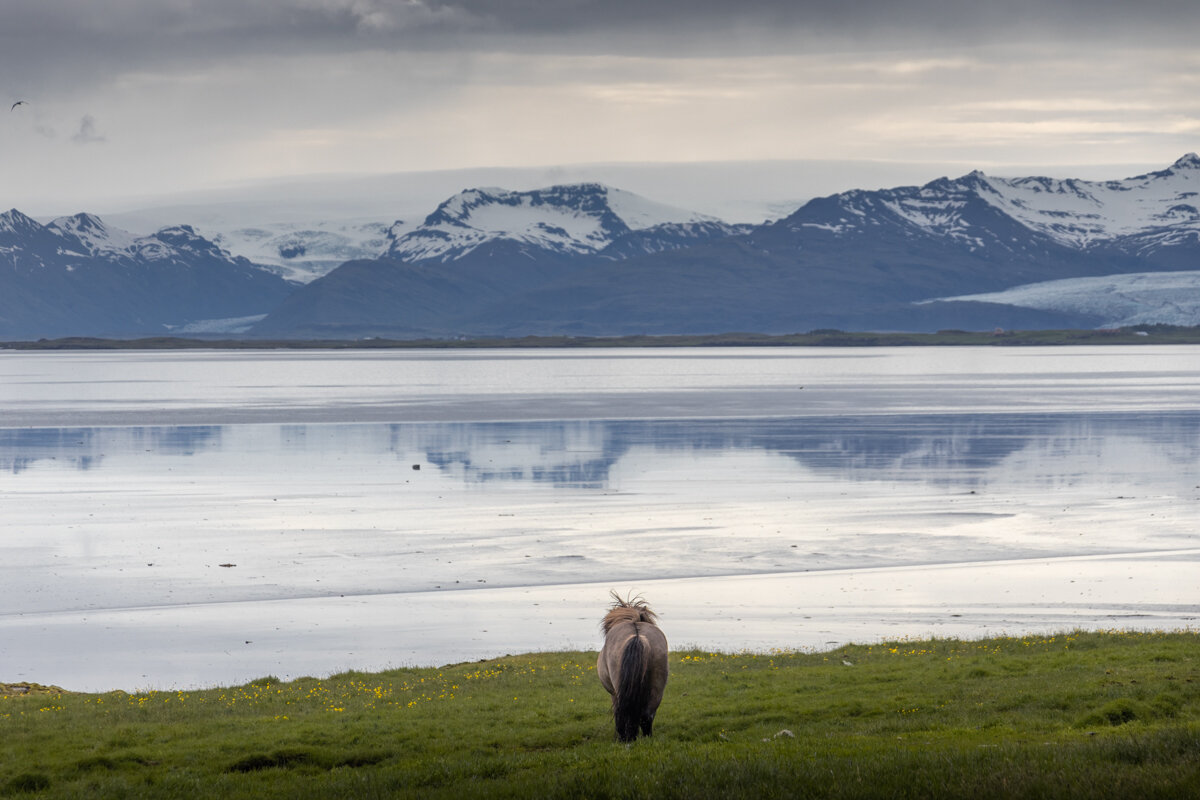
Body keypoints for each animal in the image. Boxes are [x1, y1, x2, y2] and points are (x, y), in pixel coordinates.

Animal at [597, 592, 672, 743]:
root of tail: (638, 635)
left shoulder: (613, 693)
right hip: (657, 687)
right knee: (647, 716)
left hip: (618, 689)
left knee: (622, 713)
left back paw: (625, 739)